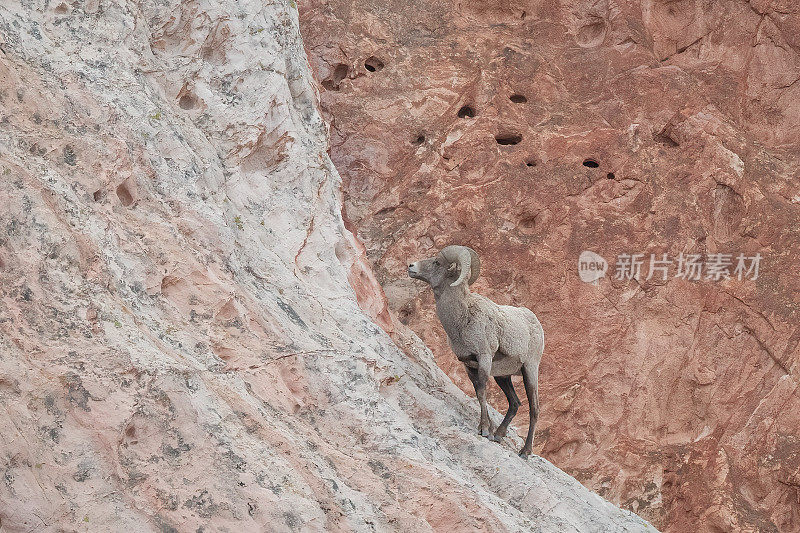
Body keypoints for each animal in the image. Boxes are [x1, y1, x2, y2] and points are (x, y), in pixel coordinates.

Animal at [406, 245, 544, 458]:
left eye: (437, 262)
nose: (411, 266)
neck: (462, 319)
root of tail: (536, 323)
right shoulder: (469, 365)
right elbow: (479, 393)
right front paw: (487, 430)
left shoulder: (484, 358)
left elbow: (482, 391)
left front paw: (484, 430)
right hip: (503, 376)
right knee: (514, 403)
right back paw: (499, 435)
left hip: (530, 370)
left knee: (534, 408)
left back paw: (525, 451)